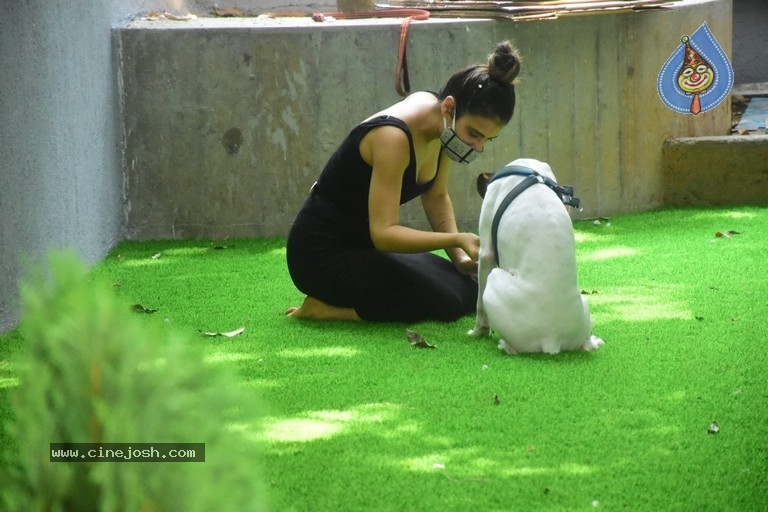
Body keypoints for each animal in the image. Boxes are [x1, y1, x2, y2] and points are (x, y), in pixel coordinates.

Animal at [468, 158, 608, 354]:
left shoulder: (486, 253)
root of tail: (552, 341)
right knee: (584, 342)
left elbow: (479, 306)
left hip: (494, 279)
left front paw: (478, 332)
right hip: (584, 305)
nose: (479, 176)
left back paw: (505, 346)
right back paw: (592, 342)